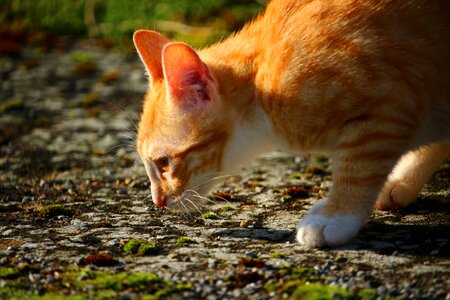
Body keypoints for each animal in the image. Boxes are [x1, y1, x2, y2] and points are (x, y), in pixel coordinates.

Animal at [132, 0, 448, 247]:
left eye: (163, 162)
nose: (157, 202)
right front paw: (401, 181)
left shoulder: (391, 105)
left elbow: (359, 168)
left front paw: (337, 215)